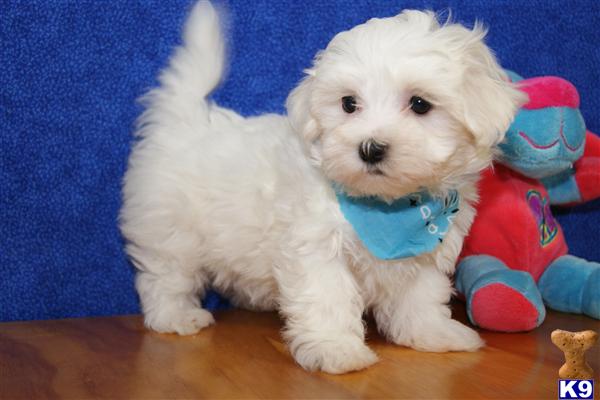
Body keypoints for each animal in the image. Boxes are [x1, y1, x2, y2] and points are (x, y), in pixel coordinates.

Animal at [120, 1, 524, 374]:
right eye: (349, 104)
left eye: (420, 104)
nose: (370, 148)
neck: (388, 208)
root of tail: (185, 121)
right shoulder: (315, 246)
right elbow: (328, 298)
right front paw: (336, 349)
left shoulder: (426, 251)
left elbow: (421, 296)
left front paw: (432, 333)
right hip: (171, 230)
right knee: (166, 276)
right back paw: (176, 316)